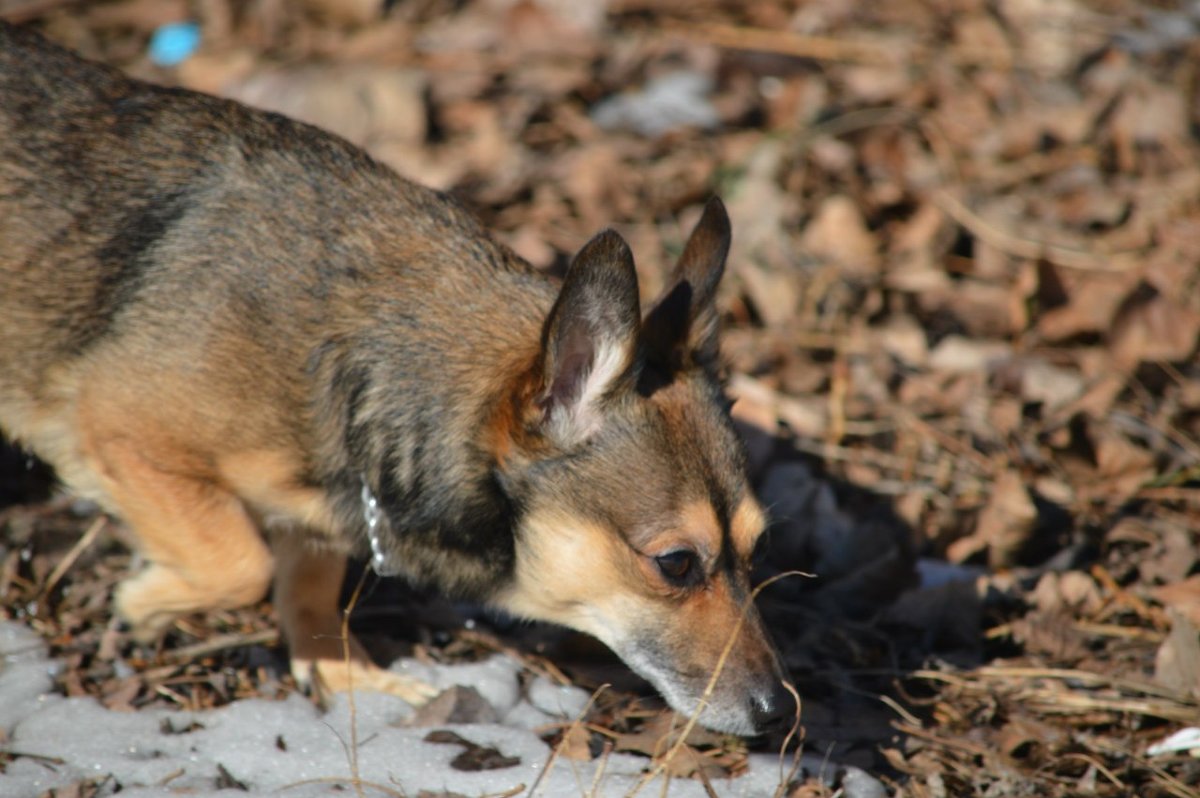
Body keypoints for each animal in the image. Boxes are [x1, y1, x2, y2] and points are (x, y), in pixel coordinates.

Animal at [0, 23, 792, 734]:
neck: (355, 351)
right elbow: (240, 563)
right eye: (677, 564)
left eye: (758, 551)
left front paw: (342, 671)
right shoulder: (120, 432)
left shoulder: (325, 510)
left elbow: (304, 583)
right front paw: (145, 601)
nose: (779, 712)